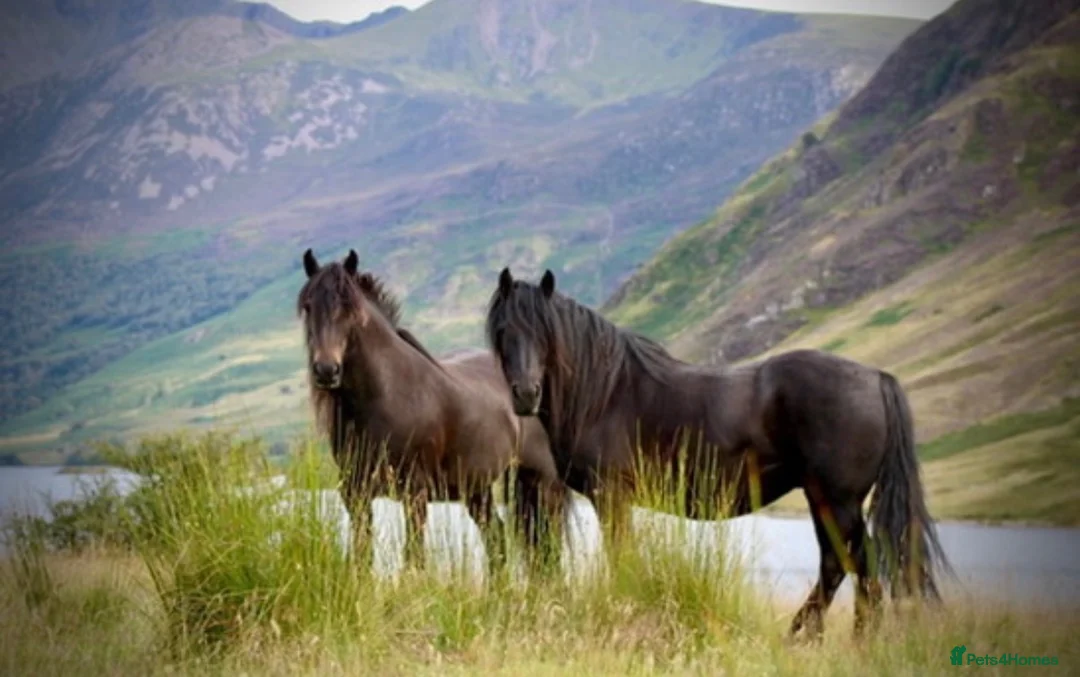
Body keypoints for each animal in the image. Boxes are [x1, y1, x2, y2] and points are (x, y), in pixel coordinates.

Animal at [297, 249, 569, 579]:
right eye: (308, 306)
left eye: (350, 308)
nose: (326, 370)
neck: (386, 395)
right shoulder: (355, 493)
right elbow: (362, 555)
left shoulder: (415, 493)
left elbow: (413, 558)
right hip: (478, 489)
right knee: (497, 537)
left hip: (543, 483)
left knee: (549, 547)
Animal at [484, 267, 953, 640]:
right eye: (504, 332)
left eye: (545, 333)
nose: (525, 395)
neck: (607, 392)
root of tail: (875, 377)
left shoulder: (611, 495)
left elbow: (621, 558)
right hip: (822, 499)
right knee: (837, 566)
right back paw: (802, 637)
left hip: (838, 500)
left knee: (858, 568)